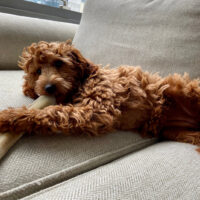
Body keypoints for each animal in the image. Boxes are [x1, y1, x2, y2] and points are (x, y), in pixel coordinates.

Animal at [0, 40, 200, 148]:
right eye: (38, 72)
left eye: (58, 63)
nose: (48, 88)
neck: (84, 81)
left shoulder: (98, 108)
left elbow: (53, 112)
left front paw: (11, 115)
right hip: (176, 132)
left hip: (189, 90)